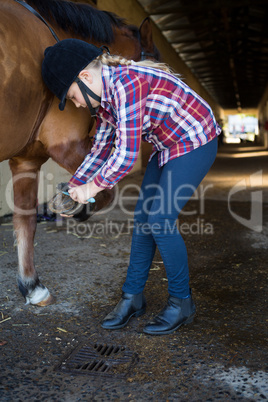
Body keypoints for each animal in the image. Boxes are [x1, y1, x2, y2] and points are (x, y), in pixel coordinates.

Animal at [0, 0, 158, 304]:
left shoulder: (26, 160)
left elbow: (25, 220)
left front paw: (32, 286)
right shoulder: (67, 143)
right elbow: (107, 190)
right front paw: (78, 204)